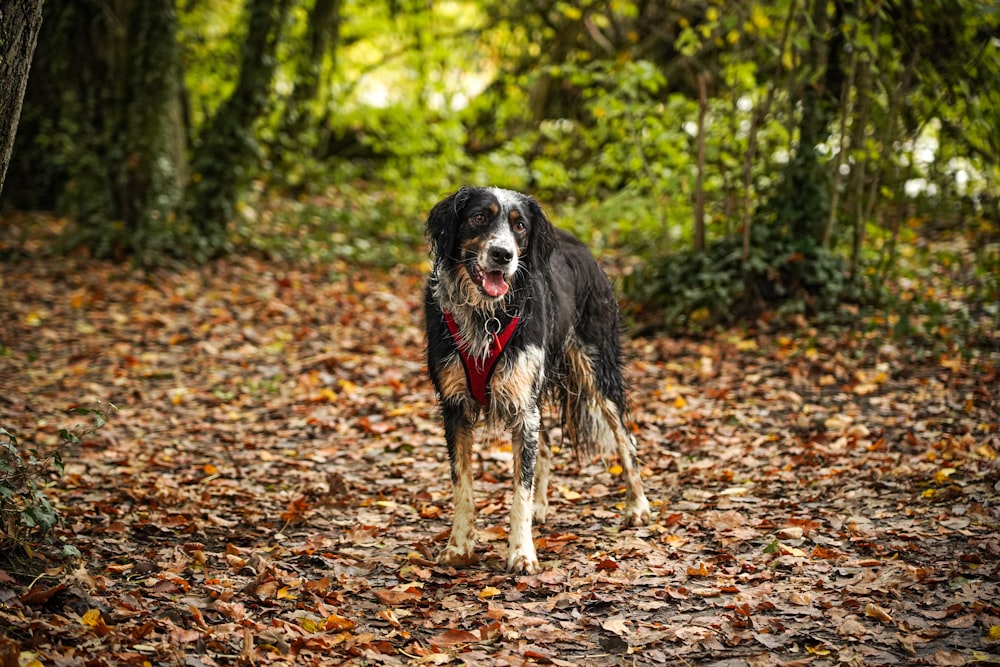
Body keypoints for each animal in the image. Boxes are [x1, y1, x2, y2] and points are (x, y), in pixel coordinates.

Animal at [420, 188, 648, 576]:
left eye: (520, 226)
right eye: (479, 217)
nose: (503, 255)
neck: (487, 315)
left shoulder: (523, 406)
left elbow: (519, 490)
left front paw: (521, 552)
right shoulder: (456, 407)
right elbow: (463, 484)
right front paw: (459, 547)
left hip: (597, 367)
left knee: (625, 438)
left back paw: (638, 506)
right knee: (546, 445)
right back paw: (542, 507)